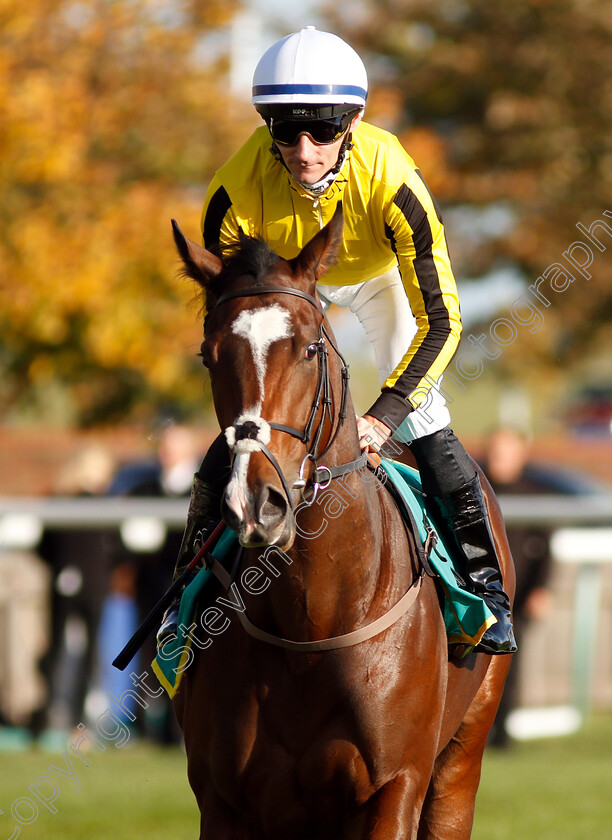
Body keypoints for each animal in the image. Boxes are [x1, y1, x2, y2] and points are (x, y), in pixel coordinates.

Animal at [170, 208, 512, 840]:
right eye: (209, 355)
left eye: (309, 348)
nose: (257, 501)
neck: (312, 626)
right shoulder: (223, 801)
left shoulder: (394, 789)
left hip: (460, 761)